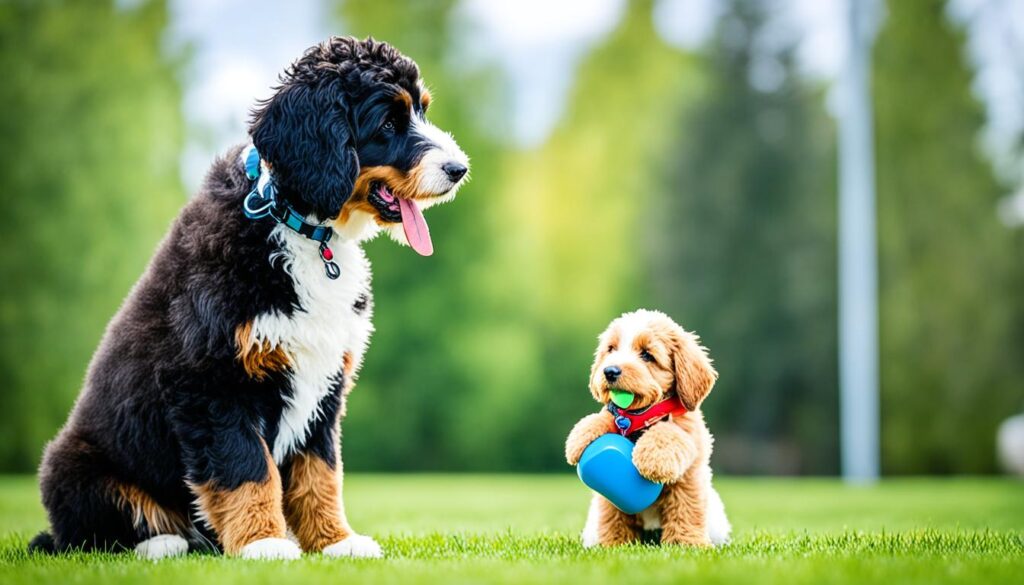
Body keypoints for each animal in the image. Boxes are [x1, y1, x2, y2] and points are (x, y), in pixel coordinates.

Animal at [28, 37, 468, 561]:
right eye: (387, 123)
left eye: (421, 110)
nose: (460, 169)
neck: (298, 226)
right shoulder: (212, 382)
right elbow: (247, 469)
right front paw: (265, 543)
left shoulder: (324, 384)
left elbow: (321, 473)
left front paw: (336, 542)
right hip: (72, 465)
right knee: (87, 534)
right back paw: (162, 542)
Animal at [569, 309, 729, 549]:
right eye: (611, 349)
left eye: (647, 355)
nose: (609, 371)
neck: (640, 416)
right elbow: (607, 415)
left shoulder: (688, 465)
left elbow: (685, 507)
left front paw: (684, 542)